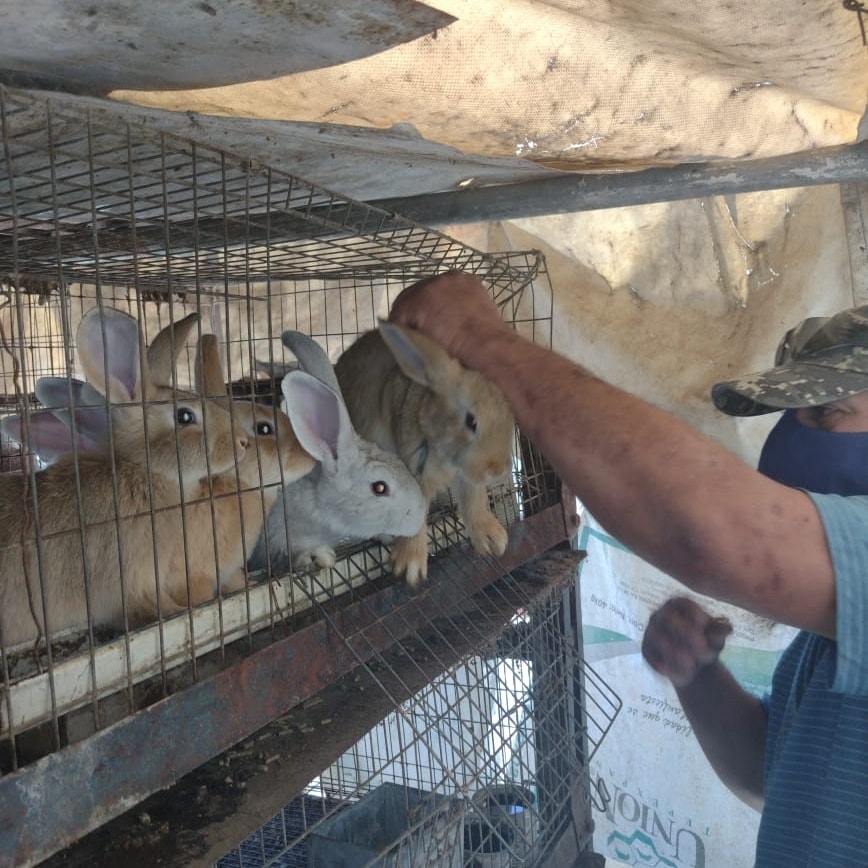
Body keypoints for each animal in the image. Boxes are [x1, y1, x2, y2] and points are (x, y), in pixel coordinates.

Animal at [0, 306, 248, 652]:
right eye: (185, 416)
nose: (242, 441)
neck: (146, 472)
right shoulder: (133, 580)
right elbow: (153, 608)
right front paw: (180, 610)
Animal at [334, 320, 516, 588]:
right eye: (471, 421)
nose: (498, 470)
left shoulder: (467, 479)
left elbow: (474, 502)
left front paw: (493, 539)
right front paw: (410, 565)